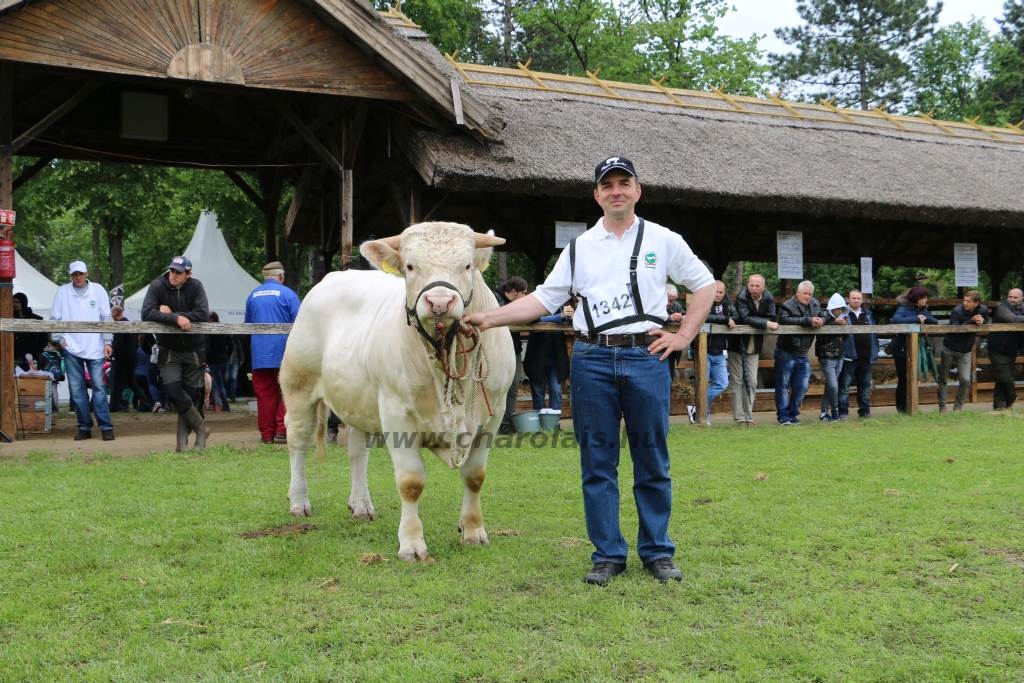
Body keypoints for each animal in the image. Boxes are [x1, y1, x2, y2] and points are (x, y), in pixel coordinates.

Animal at [280, 222, 516, 565]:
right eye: (410, 266)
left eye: (467, 265)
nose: (439, 302)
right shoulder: (396, 412)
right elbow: (411, 482)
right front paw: (412, 544)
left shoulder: (493, 414)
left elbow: (474, 475)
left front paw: (473, 531)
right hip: (299, 386)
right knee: (297, 442)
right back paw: (299, 501)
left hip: (358, 401)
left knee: (357, 451)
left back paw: (361, 506)